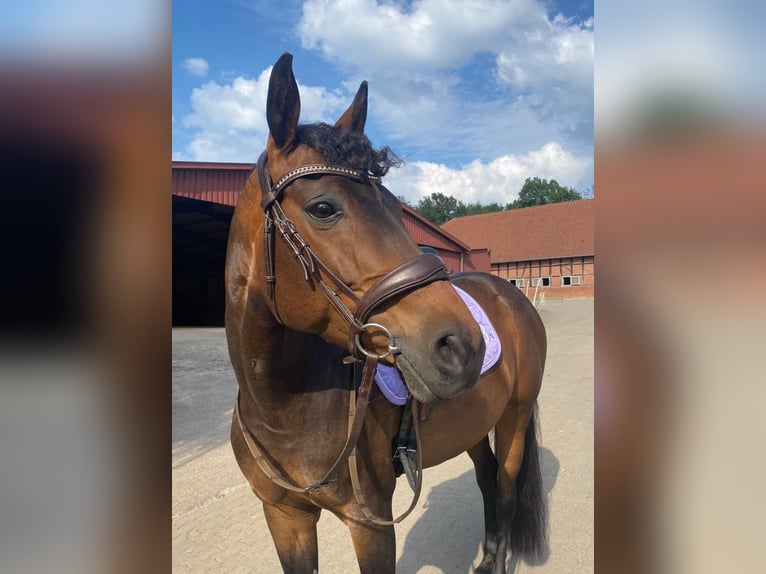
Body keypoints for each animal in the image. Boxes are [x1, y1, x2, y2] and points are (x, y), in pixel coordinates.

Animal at [225, 51, 548, 572]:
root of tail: (510, 294)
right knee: (487, 479)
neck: (282, 409)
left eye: (396, 209)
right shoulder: (284, 516)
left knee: (505, 489)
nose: (463, 346)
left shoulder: (370, 523)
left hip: (514, 419)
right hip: (476, 424)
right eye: (322, 208)